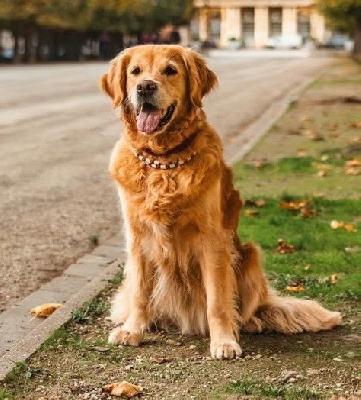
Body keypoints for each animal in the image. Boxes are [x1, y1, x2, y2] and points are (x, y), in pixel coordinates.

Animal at [100, 44, 340, 360]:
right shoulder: (138, 238)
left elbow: (217, 300)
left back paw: (249, 323)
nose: (145, 87)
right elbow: (140, 292)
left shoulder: (212, 239)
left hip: (249, 255)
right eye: (135, 72)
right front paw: (132, 330)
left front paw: (224, 341)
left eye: (170, 70)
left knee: (252, 308)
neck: (163, 161)